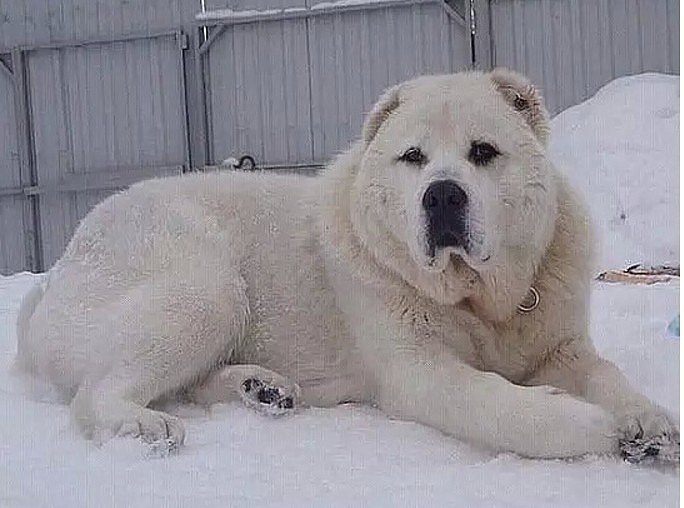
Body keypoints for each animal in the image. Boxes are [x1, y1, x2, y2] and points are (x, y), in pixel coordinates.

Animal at [16, 68, 680, 460]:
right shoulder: (417, 369)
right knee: (95, 394)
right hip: (206, 288)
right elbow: (494, 402)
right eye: (412, 157)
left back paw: (263, 389)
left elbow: (607, 374)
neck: (480, 299)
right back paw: (144, 427)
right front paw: (588, 425)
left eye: (483, 152)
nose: (442, 195)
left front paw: (649, 422)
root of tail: (57, 272)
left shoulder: (562, 348)